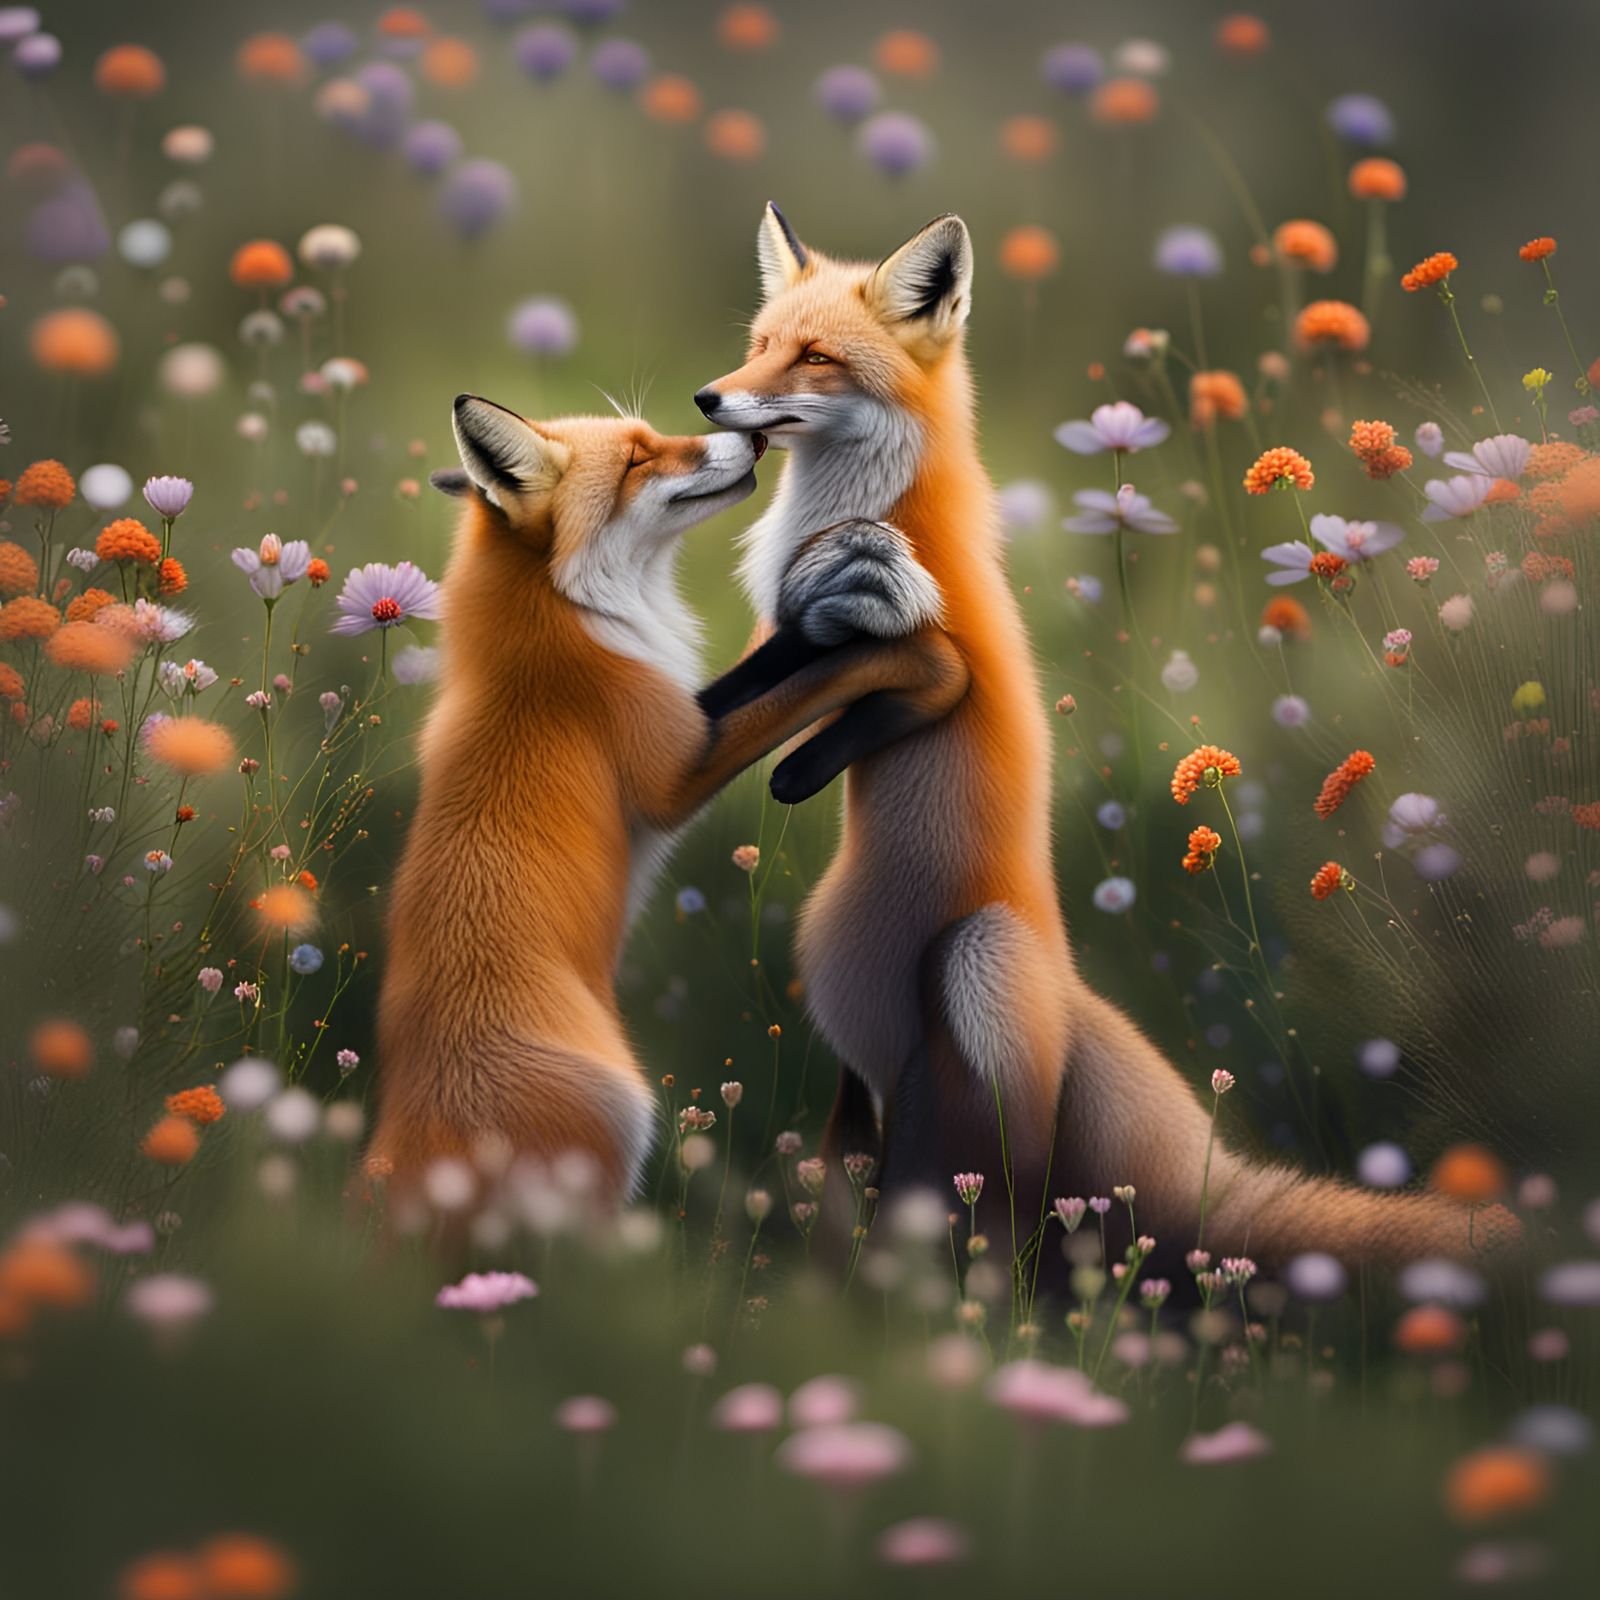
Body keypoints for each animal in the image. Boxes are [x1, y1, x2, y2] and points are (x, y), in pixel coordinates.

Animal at [369, 395, 964, 1211]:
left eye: (650, 438)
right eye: (637, 460)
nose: (754, 438)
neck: (563, 621)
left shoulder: (686, 716)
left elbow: (783, 662)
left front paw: (839, 605)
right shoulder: (676, 773)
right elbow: (830, 678)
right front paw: (917, 666)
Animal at [693, 204, 1519, 1267]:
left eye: (816, 358)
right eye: (760, 344)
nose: (710, 398)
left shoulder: (914, 628)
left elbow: (914, 671)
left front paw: (798, 762)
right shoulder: (795, 627)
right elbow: (760, 674)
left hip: (974, 976)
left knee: (987, 1214)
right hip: (866, 1089)